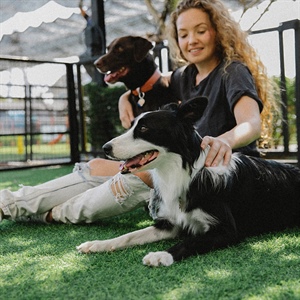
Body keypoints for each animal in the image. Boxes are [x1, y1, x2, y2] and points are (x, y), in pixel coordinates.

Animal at [77, 97, 300, 266]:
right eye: (131, 126)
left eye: (144, 128)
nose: (105, 148)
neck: (182, 172)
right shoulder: (170, 224)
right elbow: (130, 235)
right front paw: (98, 244)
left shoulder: (227, 230)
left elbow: (190, 242)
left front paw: (161, 255)